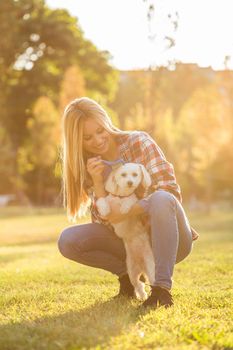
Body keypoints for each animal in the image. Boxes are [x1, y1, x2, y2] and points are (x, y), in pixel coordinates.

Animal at [95, 163, 156, 300]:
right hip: (132, 271)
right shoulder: (106, 200)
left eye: (135, 175)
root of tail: (141, 265)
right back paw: (142, 295)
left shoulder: (134, 204)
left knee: (151, 281)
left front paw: (124, 207)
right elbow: (101, 201)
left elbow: (131, 200)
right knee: (138, 284)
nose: (130, 182)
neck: (120, 197)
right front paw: (105, 210)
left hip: (150, 267)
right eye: (123, 175)